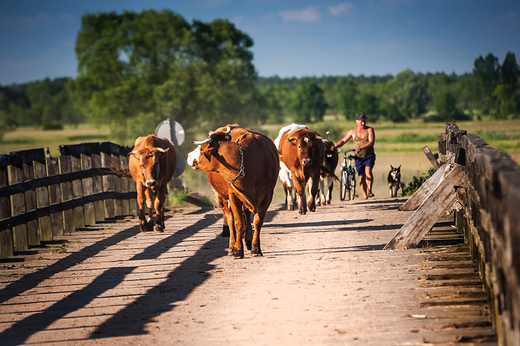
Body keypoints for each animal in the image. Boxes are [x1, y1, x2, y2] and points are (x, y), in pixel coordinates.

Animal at [186, 124, 278, 256]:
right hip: (224, 197)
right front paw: (238, 250)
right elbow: (238, 222)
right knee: (230, 219)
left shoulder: (267, 196)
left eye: (201, 148)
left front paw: (256, 248)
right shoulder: (233, 194)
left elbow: (257, 221)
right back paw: (231, 247)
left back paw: (248, 241)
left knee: (246, 214)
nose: (188, 155)